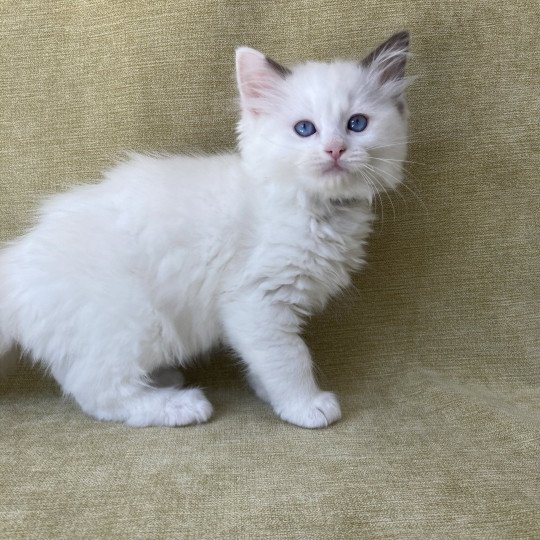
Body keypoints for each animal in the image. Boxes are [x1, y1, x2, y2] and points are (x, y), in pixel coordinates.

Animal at [0, 31, 410, 428]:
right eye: (305, 129)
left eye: (357, 124)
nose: (335, 150)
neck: (314, 209)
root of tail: (18, 263)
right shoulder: (256, 301)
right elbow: (288, 358)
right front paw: (304, 405)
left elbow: (264, 360)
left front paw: (267, 392)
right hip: (135, 320)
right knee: (97, 391)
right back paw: (178, 405)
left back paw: (164, 380)